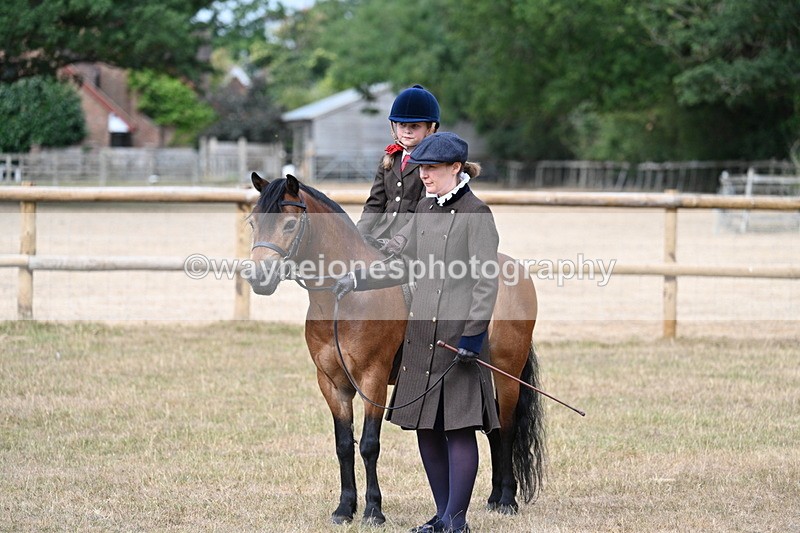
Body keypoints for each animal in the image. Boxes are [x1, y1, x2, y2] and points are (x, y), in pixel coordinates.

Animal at [246, 173, 545, 525]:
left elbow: (369, 445)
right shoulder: (332, 384)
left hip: (508, 373)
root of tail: (516, 270)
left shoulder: (372, 379)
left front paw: (373, 510)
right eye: (253, 222)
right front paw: (344, 508)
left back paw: (507, 499)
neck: (343, 300)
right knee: (494, 430)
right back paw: (495, 497)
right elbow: (344, 445)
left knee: (507, 429)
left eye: (290, 223)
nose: (258, 277)